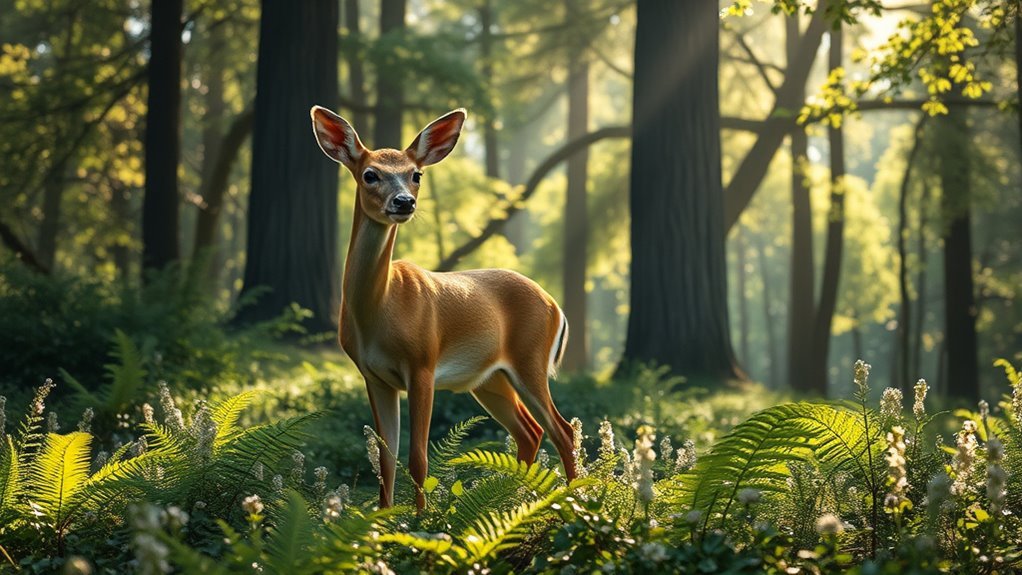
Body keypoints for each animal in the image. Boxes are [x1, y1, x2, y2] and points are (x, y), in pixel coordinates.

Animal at [310, 105, 578, 510]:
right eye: (370, 174)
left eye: (416, 174)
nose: (404, 202)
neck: (379, 310)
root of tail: (554, 305)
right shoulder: (373, 376)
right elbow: (385, 459)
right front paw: (383, 518)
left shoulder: (423, 363)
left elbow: (418, 458)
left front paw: (421, 521)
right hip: (490, 378)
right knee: (530, 431)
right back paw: (514, 501)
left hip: (529, 359)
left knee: (562, 430)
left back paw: (576, 497)